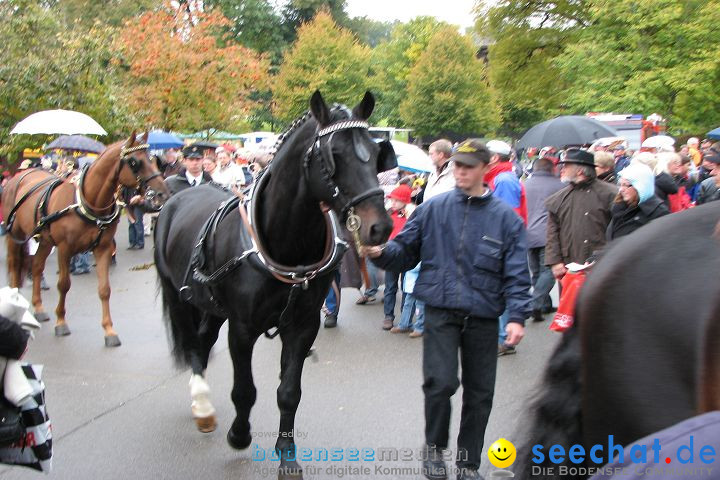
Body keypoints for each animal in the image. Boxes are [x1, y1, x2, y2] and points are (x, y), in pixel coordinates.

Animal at [2, 132, 169, 344]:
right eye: (134, 162)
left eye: (154, 160)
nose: (162, 193)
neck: (89, 202)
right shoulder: (64, 249)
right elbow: (64, 285)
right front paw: (61, 322)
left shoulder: (103, 248)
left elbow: (105, 289)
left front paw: (109, 330)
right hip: (16, 235)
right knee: (15, 266)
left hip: (46, 241)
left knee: (37, 266)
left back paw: (39, 308)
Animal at [155, 92, 396, 478]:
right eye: (334, 155)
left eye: (375, 153)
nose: (380, 227)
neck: (287, 245)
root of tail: (177, 194)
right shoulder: (242, 328)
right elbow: (245, 391)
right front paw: (240, 435)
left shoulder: (302, 325)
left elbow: (289, 392)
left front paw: (287, 454)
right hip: (179, 297)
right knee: (192, 342)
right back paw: (201, 403)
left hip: (213, 305)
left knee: (203, 340)